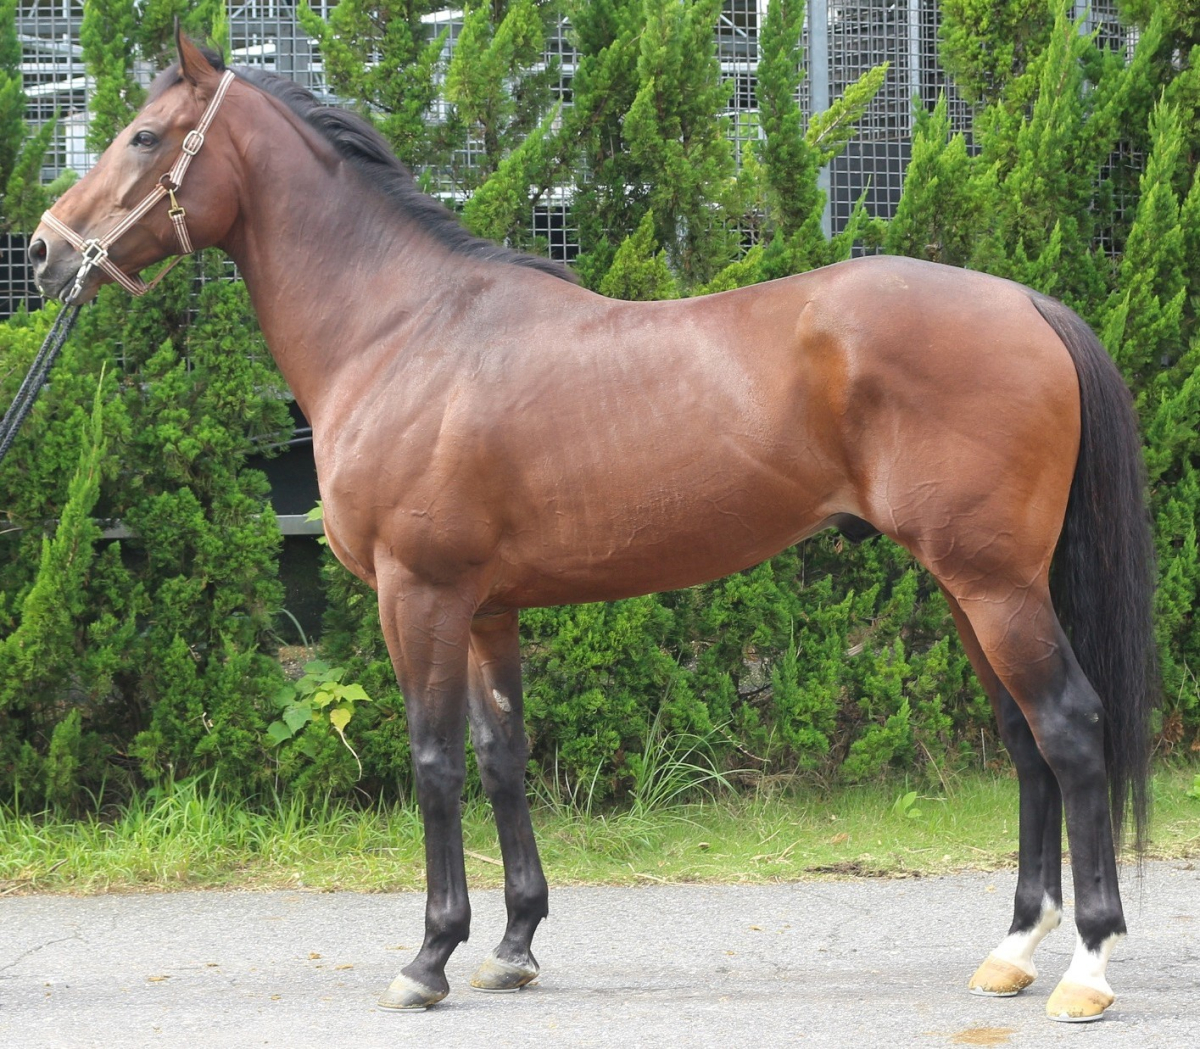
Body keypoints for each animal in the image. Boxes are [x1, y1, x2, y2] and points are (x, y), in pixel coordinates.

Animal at [28, 34, 1157, 1022]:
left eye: (142, 135)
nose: (44, 251)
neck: (402, 331)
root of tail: (1029, 304)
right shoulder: (487, 610)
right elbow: (501, 756)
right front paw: (513, 945)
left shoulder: (419, 593)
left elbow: (434, 761)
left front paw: (429, 957)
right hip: (973, 585)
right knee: (1023, 740)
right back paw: (1011, 951)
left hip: (994, 583)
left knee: (1069, 727)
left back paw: (1088, 968)